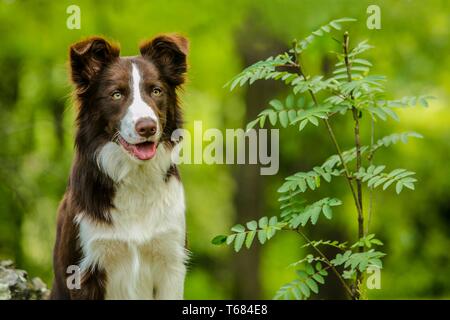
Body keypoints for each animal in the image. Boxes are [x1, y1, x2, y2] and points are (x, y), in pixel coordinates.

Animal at [50, 33, 188, 298]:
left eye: (156, 91)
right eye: (116, 94)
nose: (147, 127)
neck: (136, 179)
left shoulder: (171, 262)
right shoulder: (83, 271)